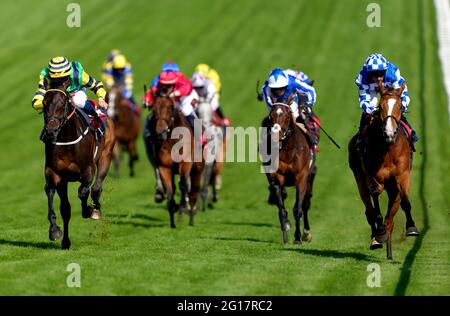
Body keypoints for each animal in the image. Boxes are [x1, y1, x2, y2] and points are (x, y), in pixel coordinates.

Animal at [42, 79, 116, 249]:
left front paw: (88, 210)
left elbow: (83, 192)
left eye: (63, 103)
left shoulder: (88, 170)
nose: (50, 131)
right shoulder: (55, 174)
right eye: (43, 103)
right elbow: (57, 201)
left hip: (106, 156)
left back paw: (95, 210)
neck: (66, 141)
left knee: (96, 188)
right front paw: (55, 232)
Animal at [144, 90, 202, 227]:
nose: (160, 131)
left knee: (193, 192)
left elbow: (183, 185)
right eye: (153, 109)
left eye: (170, 107)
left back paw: (191, 216)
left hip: (197, 170)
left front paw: (182, 208)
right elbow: (170, 190)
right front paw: (172, 215)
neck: (172, 140)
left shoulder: (186, 163)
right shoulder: (164, 167)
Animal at [260, 102, 316, 243]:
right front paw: (285, 225)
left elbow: (298, 208)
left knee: (306, 203)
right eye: (271, 116)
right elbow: (281, 206)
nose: (276, 136)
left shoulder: (301, 177)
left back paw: (306, 233)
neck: (287, 151)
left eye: (286, 116)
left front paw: (297, 237)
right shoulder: (276, 177)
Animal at [350, 79, 420, 260]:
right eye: (381, 107)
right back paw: (376, 237)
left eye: (400, 106)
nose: (389, 133)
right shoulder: (373, 177)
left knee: (391, 218)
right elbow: (375, 201)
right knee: (370, 210)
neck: (388, 148)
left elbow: (405, 201)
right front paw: (379, 233)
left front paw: (411, 228)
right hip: (359, 178)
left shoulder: (402, 175)